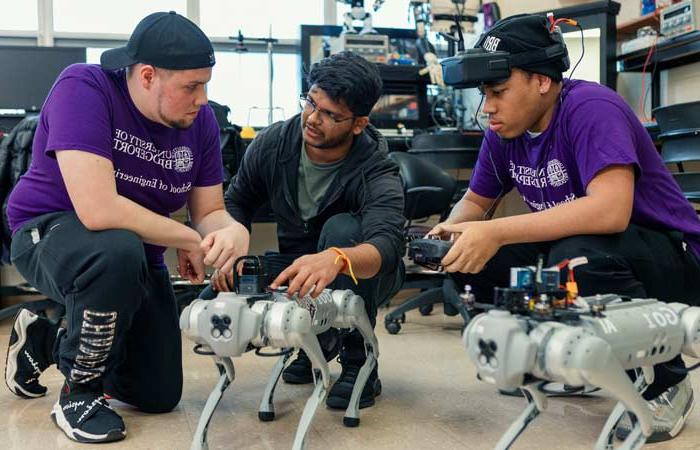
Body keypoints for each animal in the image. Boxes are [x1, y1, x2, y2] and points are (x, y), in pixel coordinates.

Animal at [179, 256, 378, 450]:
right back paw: (266, 406)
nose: (220, 322)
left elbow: (323, 374)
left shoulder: (300, 325)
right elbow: (226, 375)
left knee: (370, 344)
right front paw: (199, 443)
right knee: (284, 358)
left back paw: (353, 409)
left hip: (349, 309)